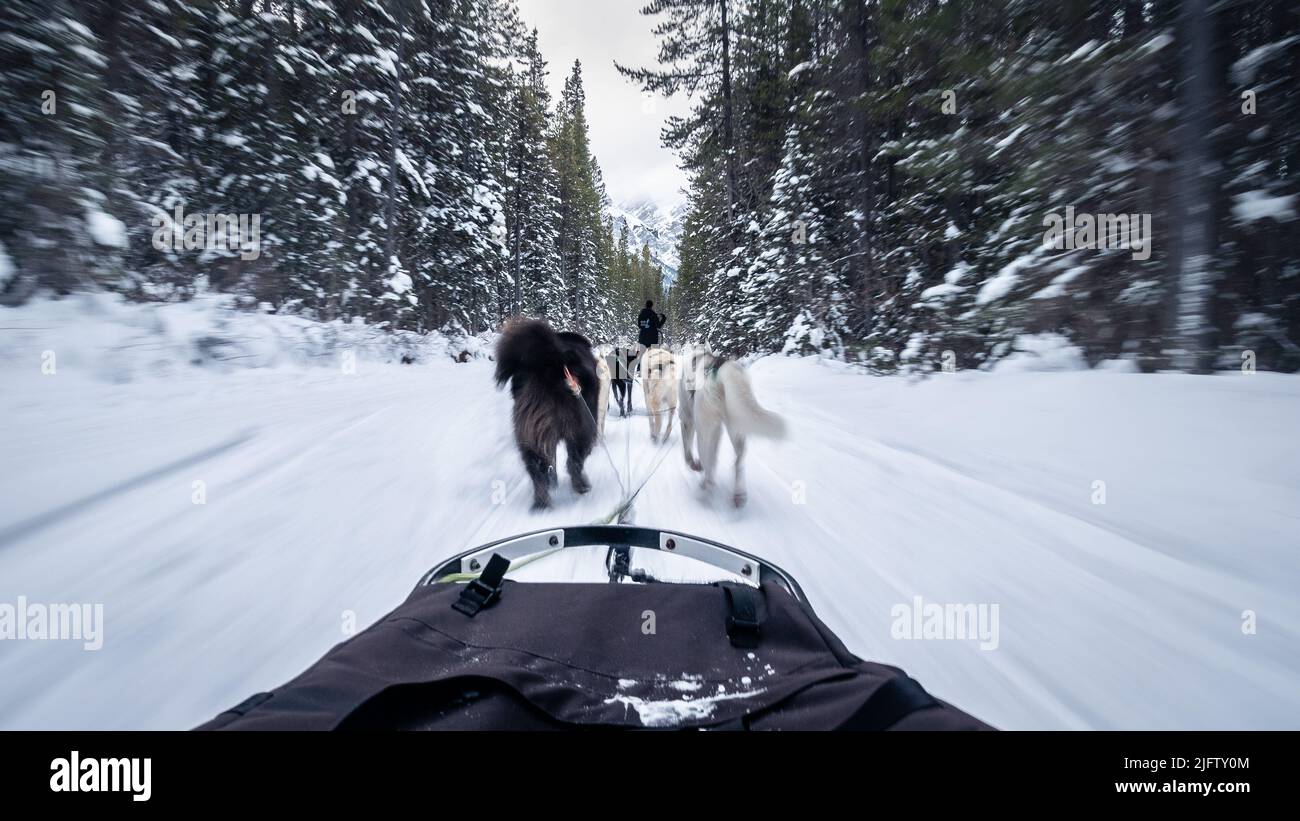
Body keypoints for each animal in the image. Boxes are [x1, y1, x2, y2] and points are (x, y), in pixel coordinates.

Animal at [493, 319, 600, 506]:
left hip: (531, 435)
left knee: (537, 470)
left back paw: (541, 502)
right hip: (581, 429)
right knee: (574, 461)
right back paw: (581, 486)